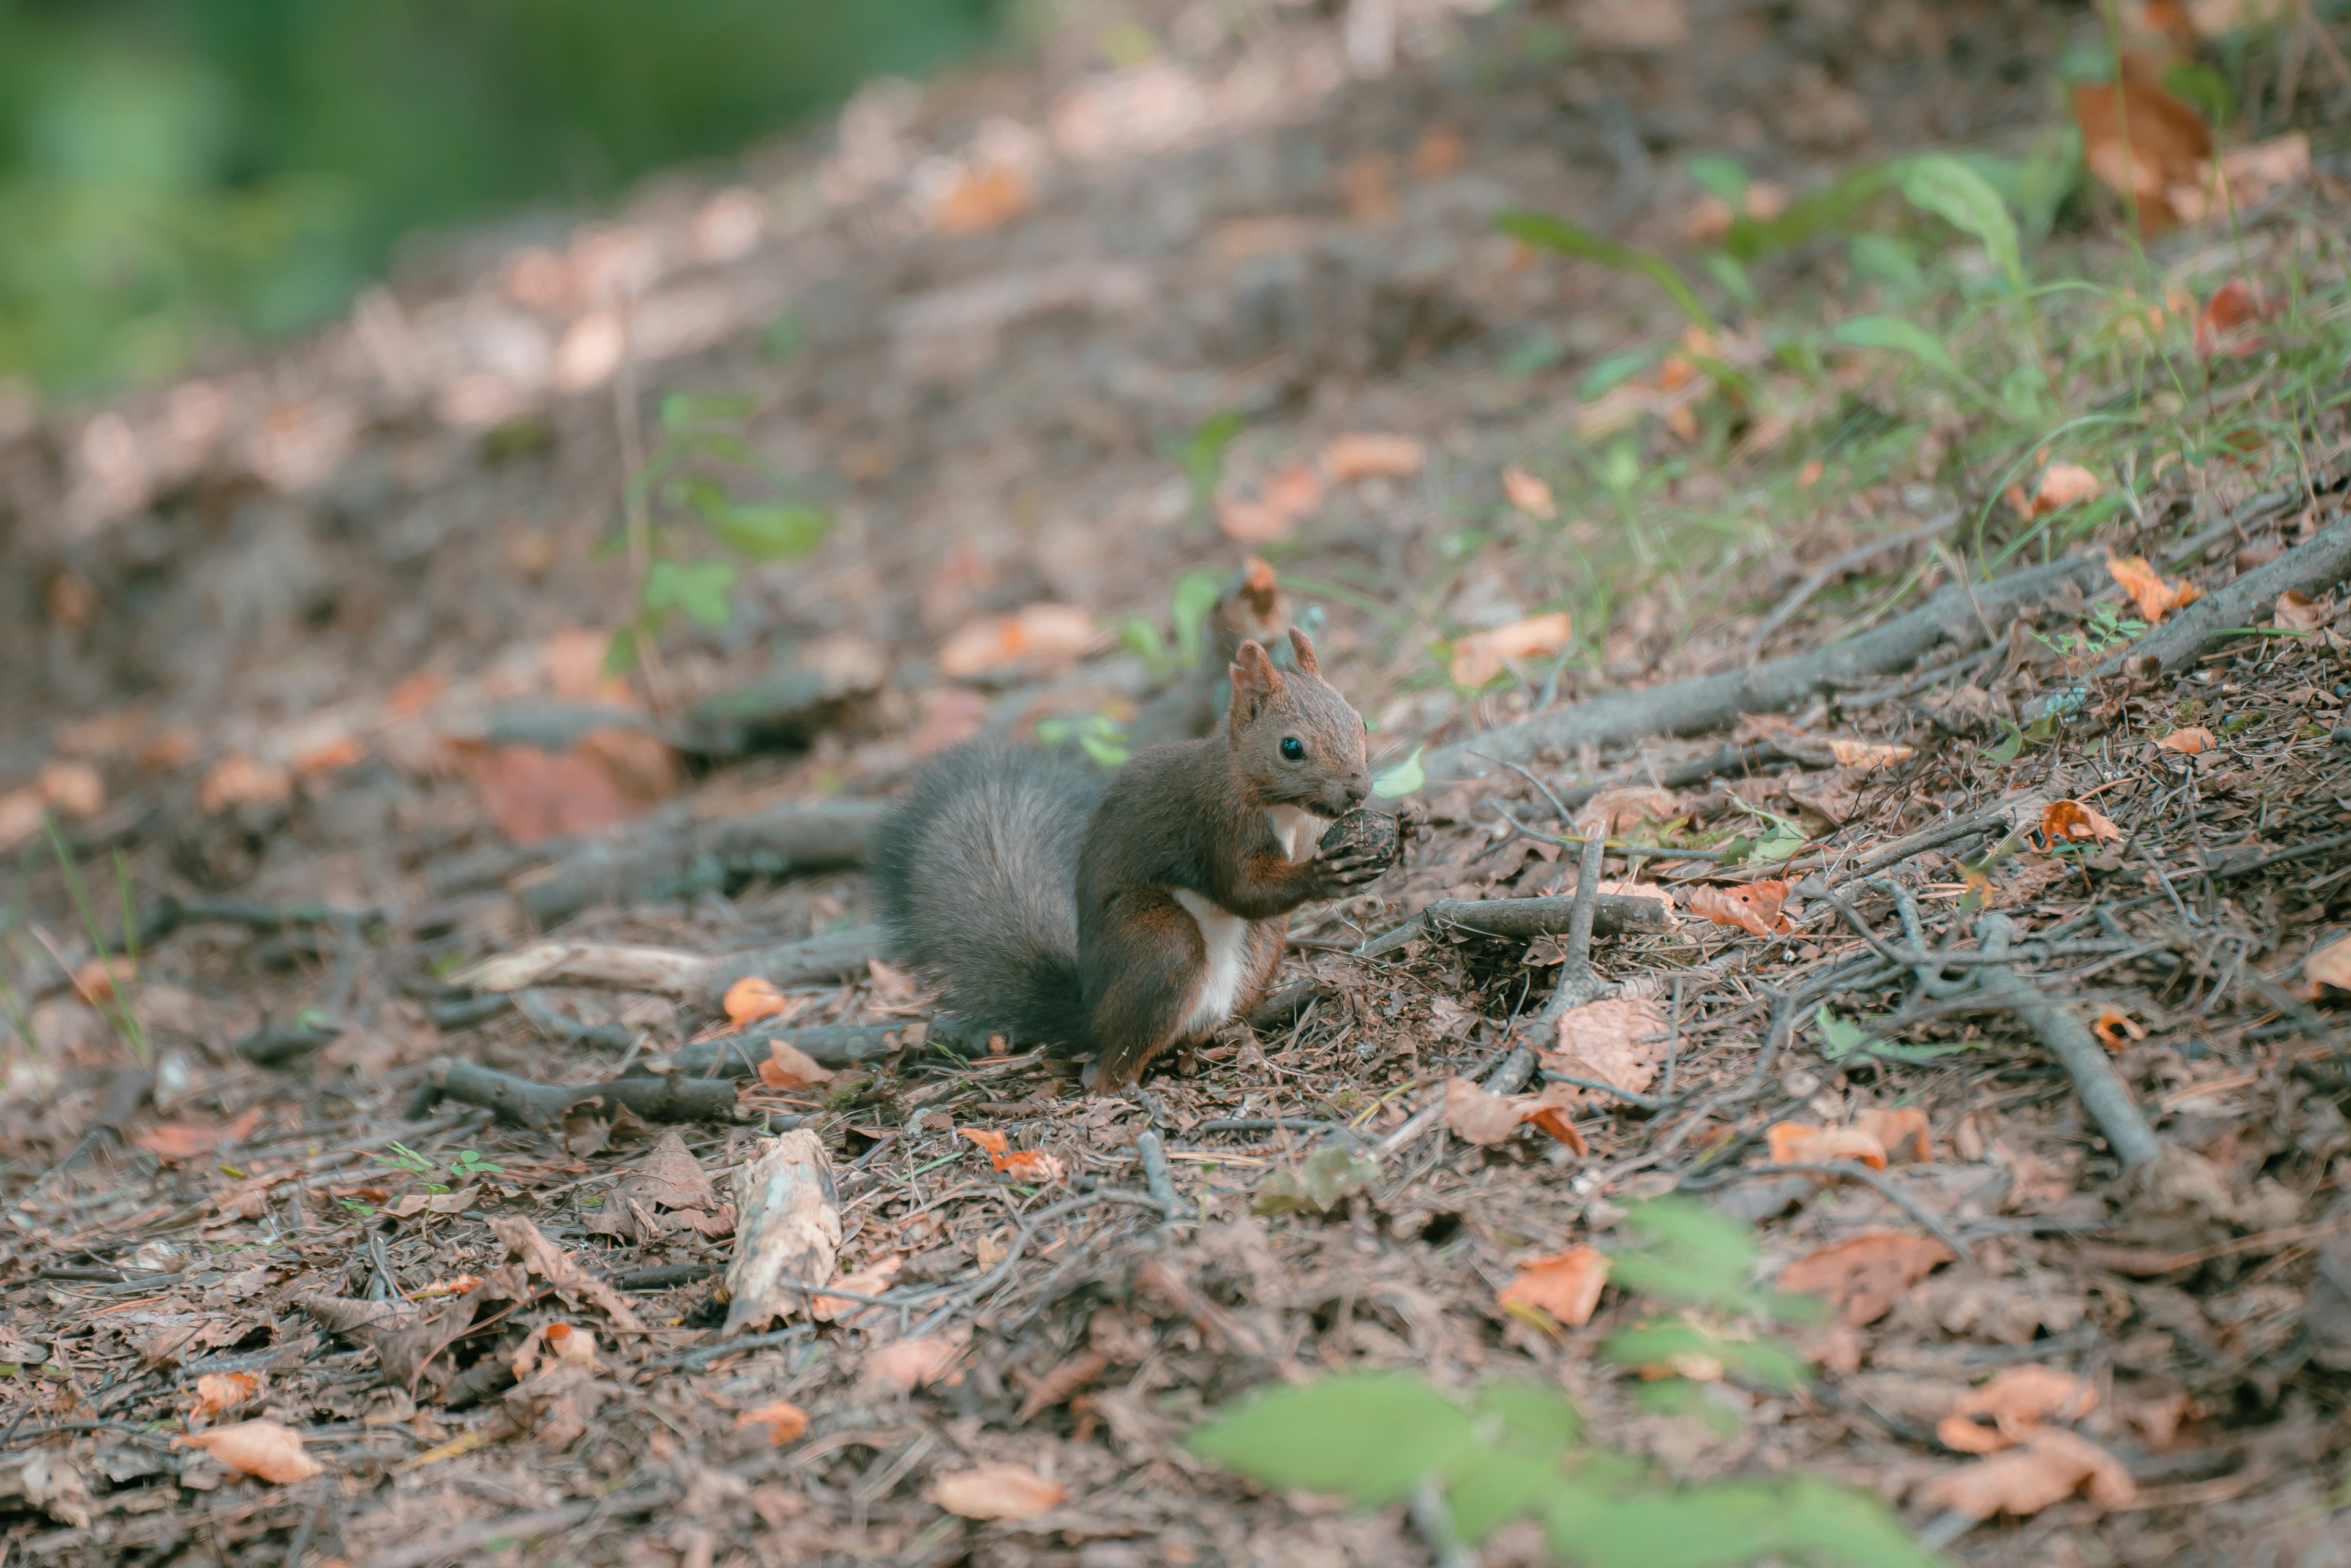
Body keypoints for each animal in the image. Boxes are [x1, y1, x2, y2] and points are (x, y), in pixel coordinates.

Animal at [883, 630, 1392, 1086]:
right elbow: (1242, 889)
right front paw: (1324, 874)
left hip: (1262, 949)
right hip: (1158, 942)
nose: (1359, 788)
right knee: (1112, 1061)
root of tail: (1089, 1010)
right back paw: (1124, 1087)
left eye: (1362, 722)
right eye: (1291, 747)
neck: (1280, 806)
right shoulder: (1217, 822)